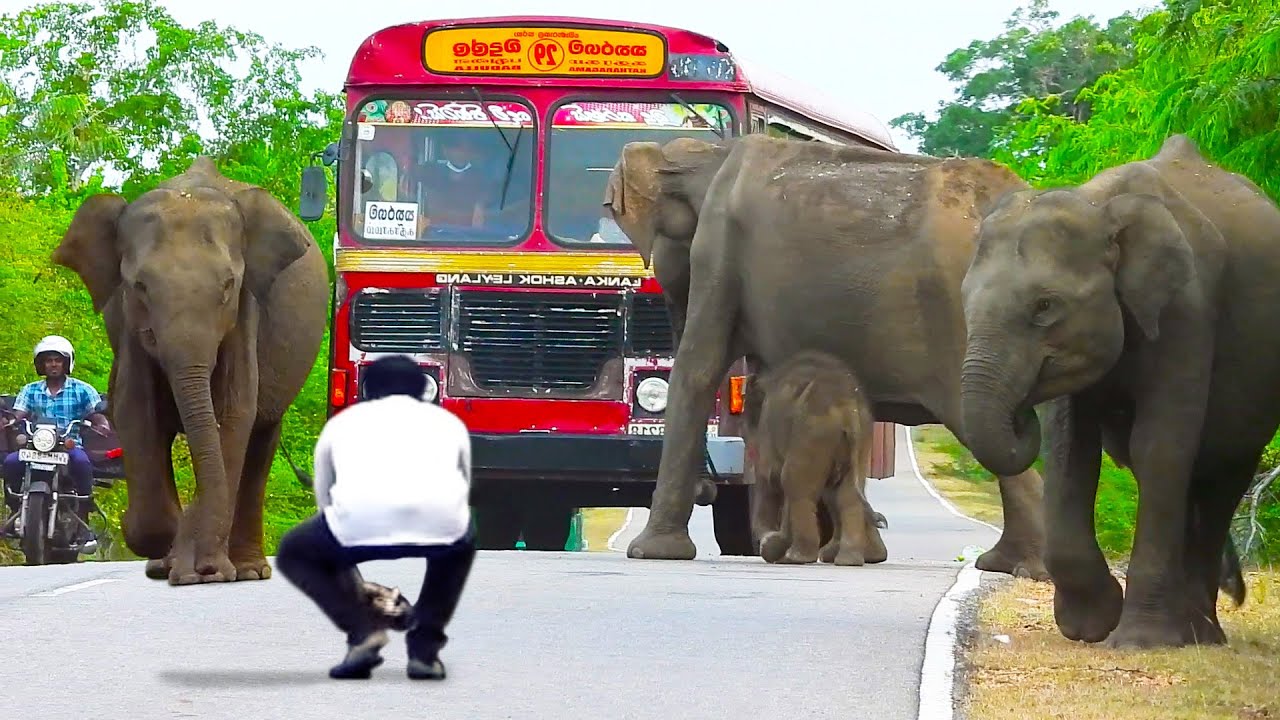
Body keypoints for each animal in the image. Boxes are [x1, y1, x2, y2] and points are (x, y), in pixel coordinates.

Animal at [52, 156, 329, 585]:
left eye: (228, 285)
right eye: (139, 286)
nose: (208, 568)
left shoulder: (246, 313)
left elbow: (233, 415)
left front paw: (203, 571)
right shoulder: (130, 328)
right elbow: (134, 411)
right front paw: (167, 552)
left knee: (260, 440)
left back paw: (246, 570)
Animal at [741, 350, 888, 566]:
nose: (767, 544)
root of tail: (847, 409)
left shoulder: (768, 428)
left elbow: (772, 477)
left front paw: (775, 548)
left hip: (813, 433)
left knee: (793, 482)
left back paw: (796, 557)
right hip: (860, 438)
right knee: (846, 494)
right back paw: (847, 560)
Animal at [956, 134, 1280, 648]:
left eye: (1045, 306)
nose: (1022, 411)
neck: (1099, 207)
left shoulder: (1188, 306)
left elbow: (1159, 447)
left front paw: (1141, 642)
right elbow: (1071, 450)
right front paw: (1090, 627)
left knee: (1219, 478)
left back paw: (1202, 635)